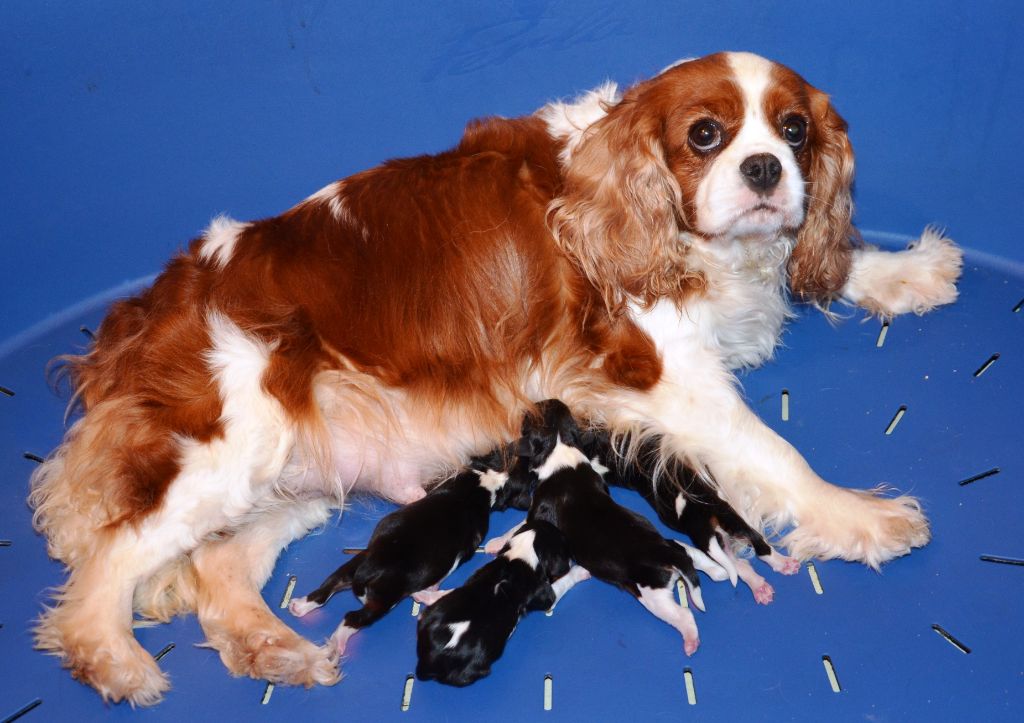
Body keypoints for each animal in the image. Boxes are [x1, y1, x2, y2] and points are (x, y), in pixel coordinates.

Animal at [286, 444, 528, 655]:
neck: (480, 483)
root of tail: (368, 570)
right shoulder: (466, 547)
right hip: (383, 602)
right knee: (352, 618)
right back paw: (338, 642)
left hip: (351, 566)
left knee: (325, 591)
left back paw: (300, 606)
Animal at [411, 520, 585, 684]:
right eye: (564, 544)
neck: (519, 557)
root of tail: (428, 661)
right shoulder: (548, 596)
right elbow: (564, 581)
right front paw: (580, 571)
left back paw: (423, 596)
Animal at [499, 397, 708, 655]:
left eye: (531, 415)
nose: (541, 401)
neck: (560, 446)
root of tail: (665, 553)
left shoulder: (537, 513)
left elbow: (520, 527)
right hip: (671, 546)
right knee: (693, 556)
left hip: (653, 595)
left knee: (683, 615)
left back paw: (690, 640)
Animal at [585, 434, 798, 602]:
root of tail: (703, 515)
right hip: (726, 526)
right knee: (747, 555)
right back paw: (767, 578)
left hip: (723, 526)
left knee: (750, 550)